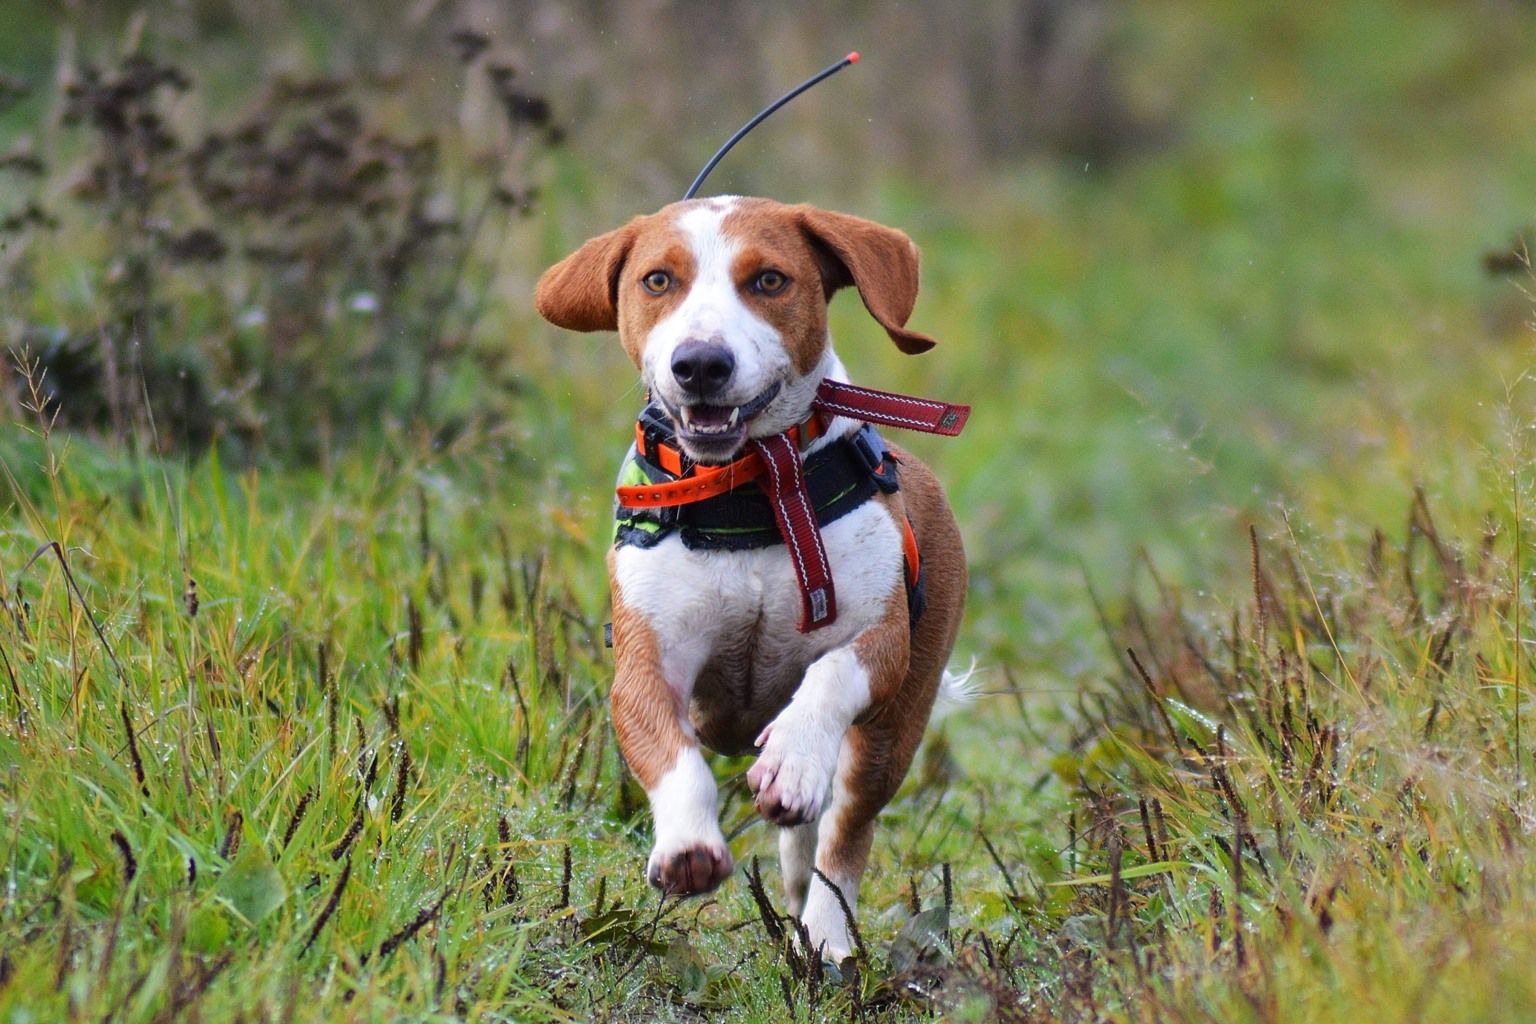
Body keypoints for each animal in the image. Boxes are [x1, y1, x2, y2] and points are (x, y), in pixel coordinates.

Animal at [534, 198, 964, 964]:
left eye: (769, 280)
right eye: (657, 280)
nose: (701, 363)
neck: (755, 488)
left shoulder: (881, 641)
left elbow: (828, 677)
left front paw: (791, 761)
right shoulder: (647, 661)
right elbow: (673, 752)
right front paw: (687, 845)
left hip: (894, 731)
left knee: (842, 838)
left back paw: (825, 941)